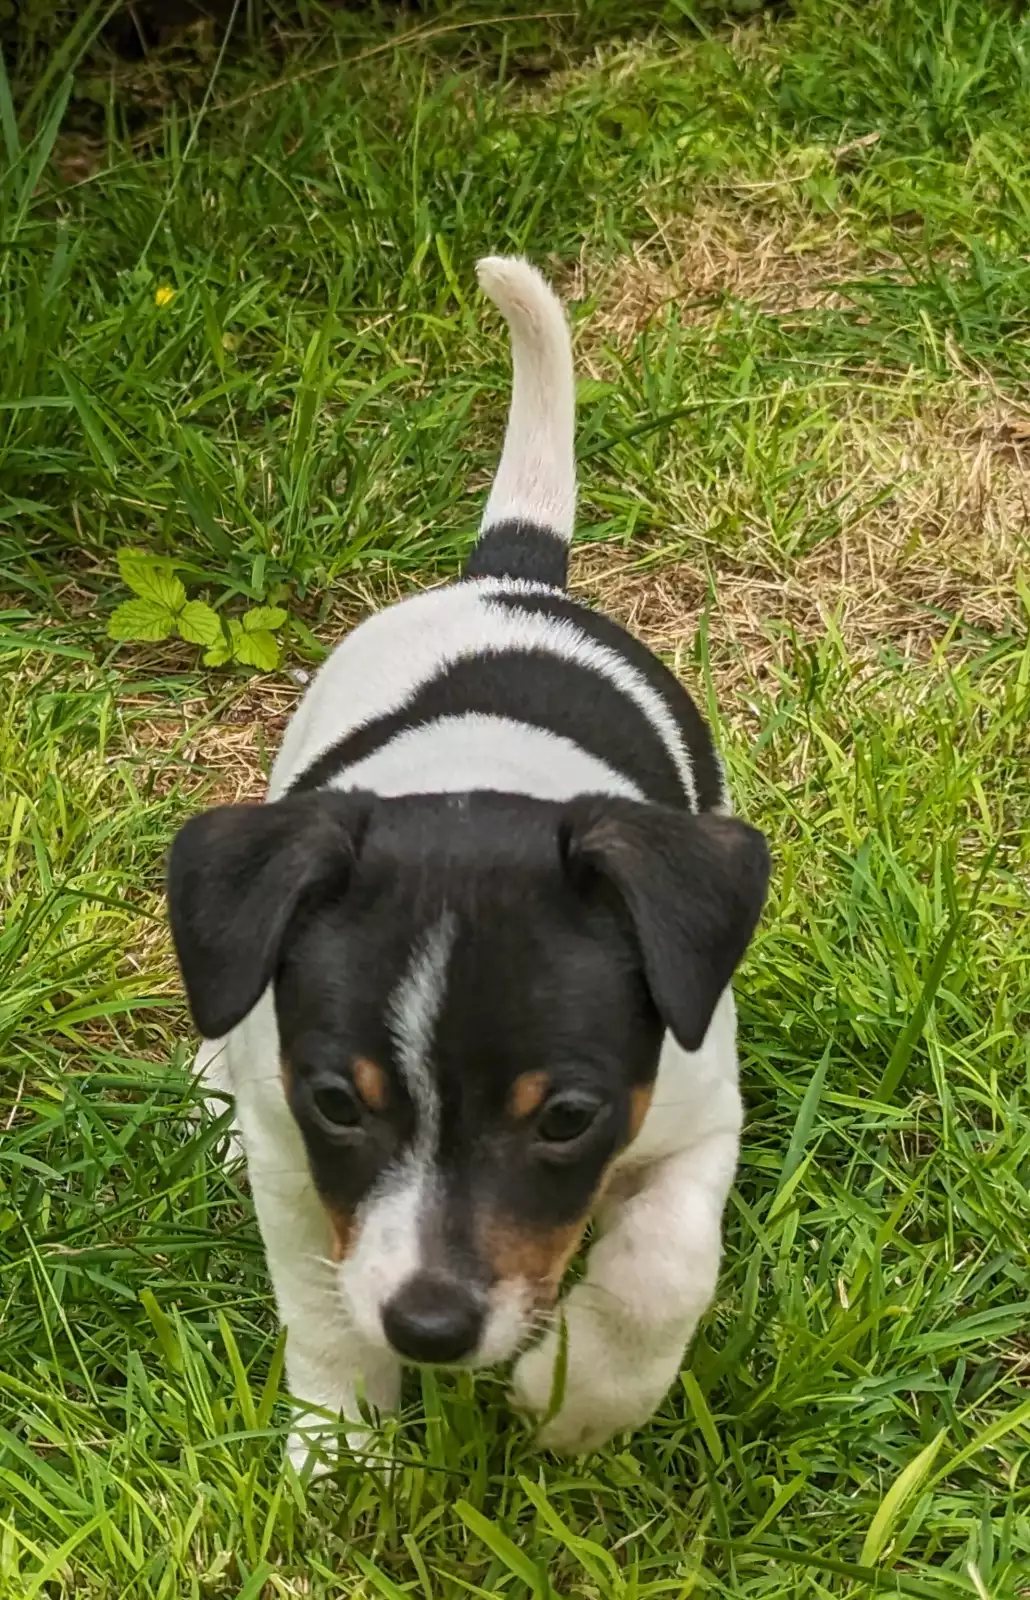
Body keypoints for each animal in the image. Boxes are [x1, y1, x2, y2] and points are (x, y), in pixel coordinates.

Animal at [167, 256, 770, 1463]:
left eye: (566, 1118)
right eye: (338, 1103)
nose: (431, 1328)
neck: (476, 781)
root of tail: (513, 580)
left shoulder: (696, 1116)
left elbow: (660, 1275)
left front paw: (575, 1399)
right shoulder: (301, 1163)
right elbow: (322, 1303)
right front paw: (341, 1447)